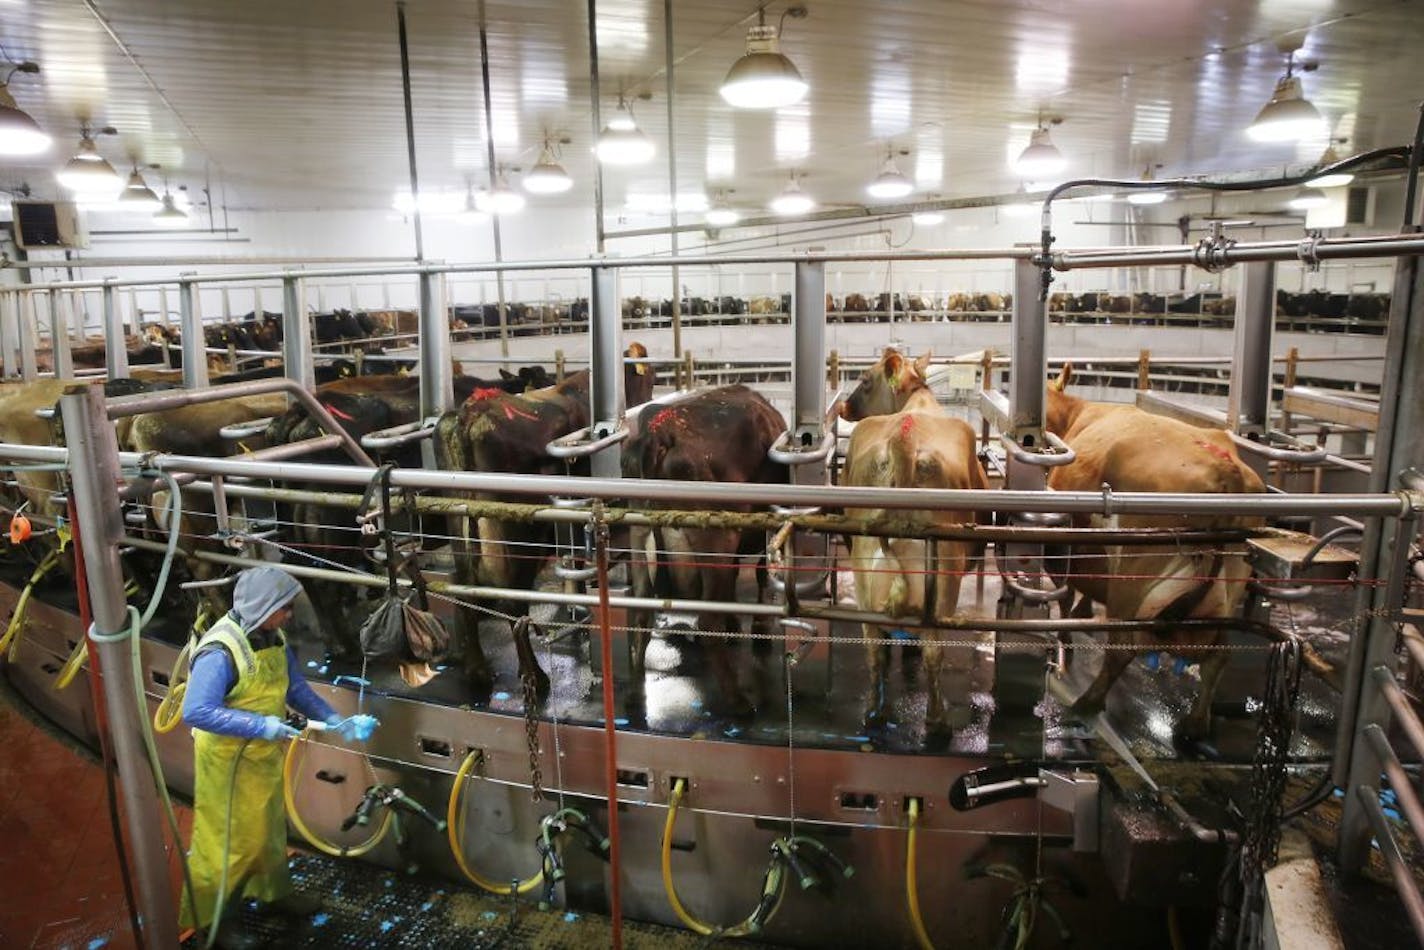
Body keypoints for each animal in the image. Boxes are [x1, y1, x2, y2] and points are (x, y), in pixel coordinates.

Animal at [432, 343, 655, 697]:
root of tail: (470, 415)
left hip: (459, 527)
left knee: (464, 591)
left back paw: (477, 670)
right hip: (519, 538)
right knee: (514, 604)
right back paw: (534, 676)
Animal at [620, 387, 786, 720]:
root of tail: (659, 431)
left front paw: (735, 623)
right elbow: (760, 573)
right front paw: (759, 631)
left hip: (638, 535)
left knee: (641, 615)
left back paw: (633, 695)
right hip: (716, 537)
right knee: (708, 618)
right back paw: (738, 701)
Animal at [831, 348, 991, 734]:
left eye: (864, 380)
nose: (843, 407)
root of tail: (904, 440)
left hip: (866, 576)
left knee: (874, 646)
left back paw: (874, 712)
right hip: (943, 579)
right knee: (933, 648)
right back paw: (936, 719)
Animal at [1042, 367, 1264, 740]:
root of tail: (1226, 471)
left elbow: (1067, 590)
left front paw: (1066, 638)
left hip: (1134, 575)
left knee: (1122, 647)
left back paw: (1086, 704)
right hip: (1229, 587)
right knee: (1220, 655)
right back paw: (1195, 724)